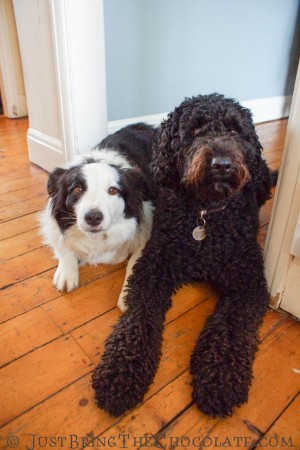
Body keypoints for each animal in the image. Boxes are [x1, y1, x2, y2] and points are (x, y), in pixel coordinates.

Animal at [92, 94, 274, 418]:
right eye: (194, 130)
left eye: (235, 130)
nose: (222, 165)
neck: (206, 216)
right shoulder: (153, 266)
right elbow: (138, 320)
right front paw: (120, 371)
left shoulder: (248, 280)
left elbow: (231, 327)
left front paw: (219, 379)